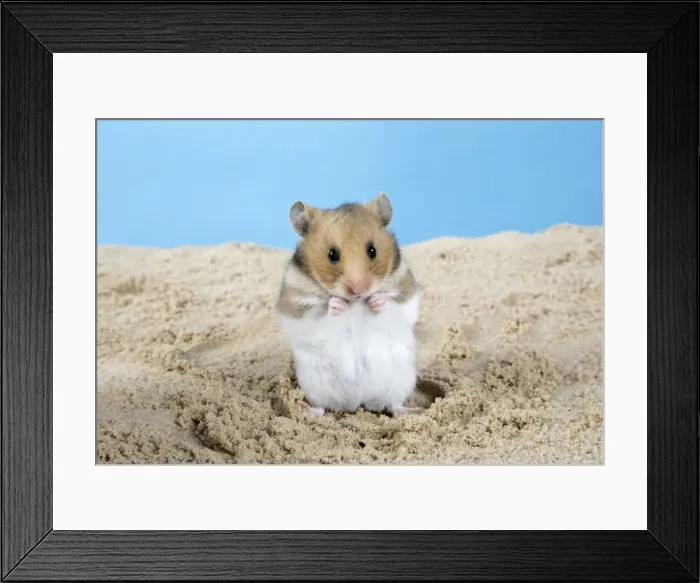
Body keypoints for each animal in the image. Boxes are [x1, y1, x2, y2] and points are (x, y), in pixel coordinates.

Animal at [277, 192, 421, 416]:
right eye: (332, 254)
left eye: (372, 250)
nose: (359, 290)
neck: (355, 303)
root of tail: (358, 402)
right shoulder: (295, 306)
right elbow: (318, 313)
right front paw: (336, 304)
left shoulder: (407, 296)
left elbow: (394, 305)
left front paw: (376, 300)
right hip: (314, 385)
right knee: (322, 405)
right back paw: (309, 413)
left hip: (401, 380)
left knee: (394, 404)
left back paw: (411, 411)